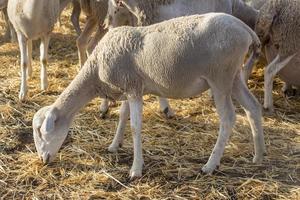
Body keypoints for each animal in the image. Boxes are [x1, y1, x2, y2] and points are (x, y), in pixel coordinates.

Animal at [32, 14, 264, 180]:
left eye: (41, 132)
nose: (43, 160)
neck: (95, 71)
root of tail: (246, 30)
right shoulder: (128, 87)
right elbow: (122, 116)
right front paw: (114, 145)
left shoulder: (134, 88)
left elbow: (135, 127)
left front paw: (136, 169)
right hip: (234, 76)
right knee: (253, 107)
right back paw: (258, 155)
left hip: (220, 77)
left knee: (228, 118)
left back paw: (210, 165)